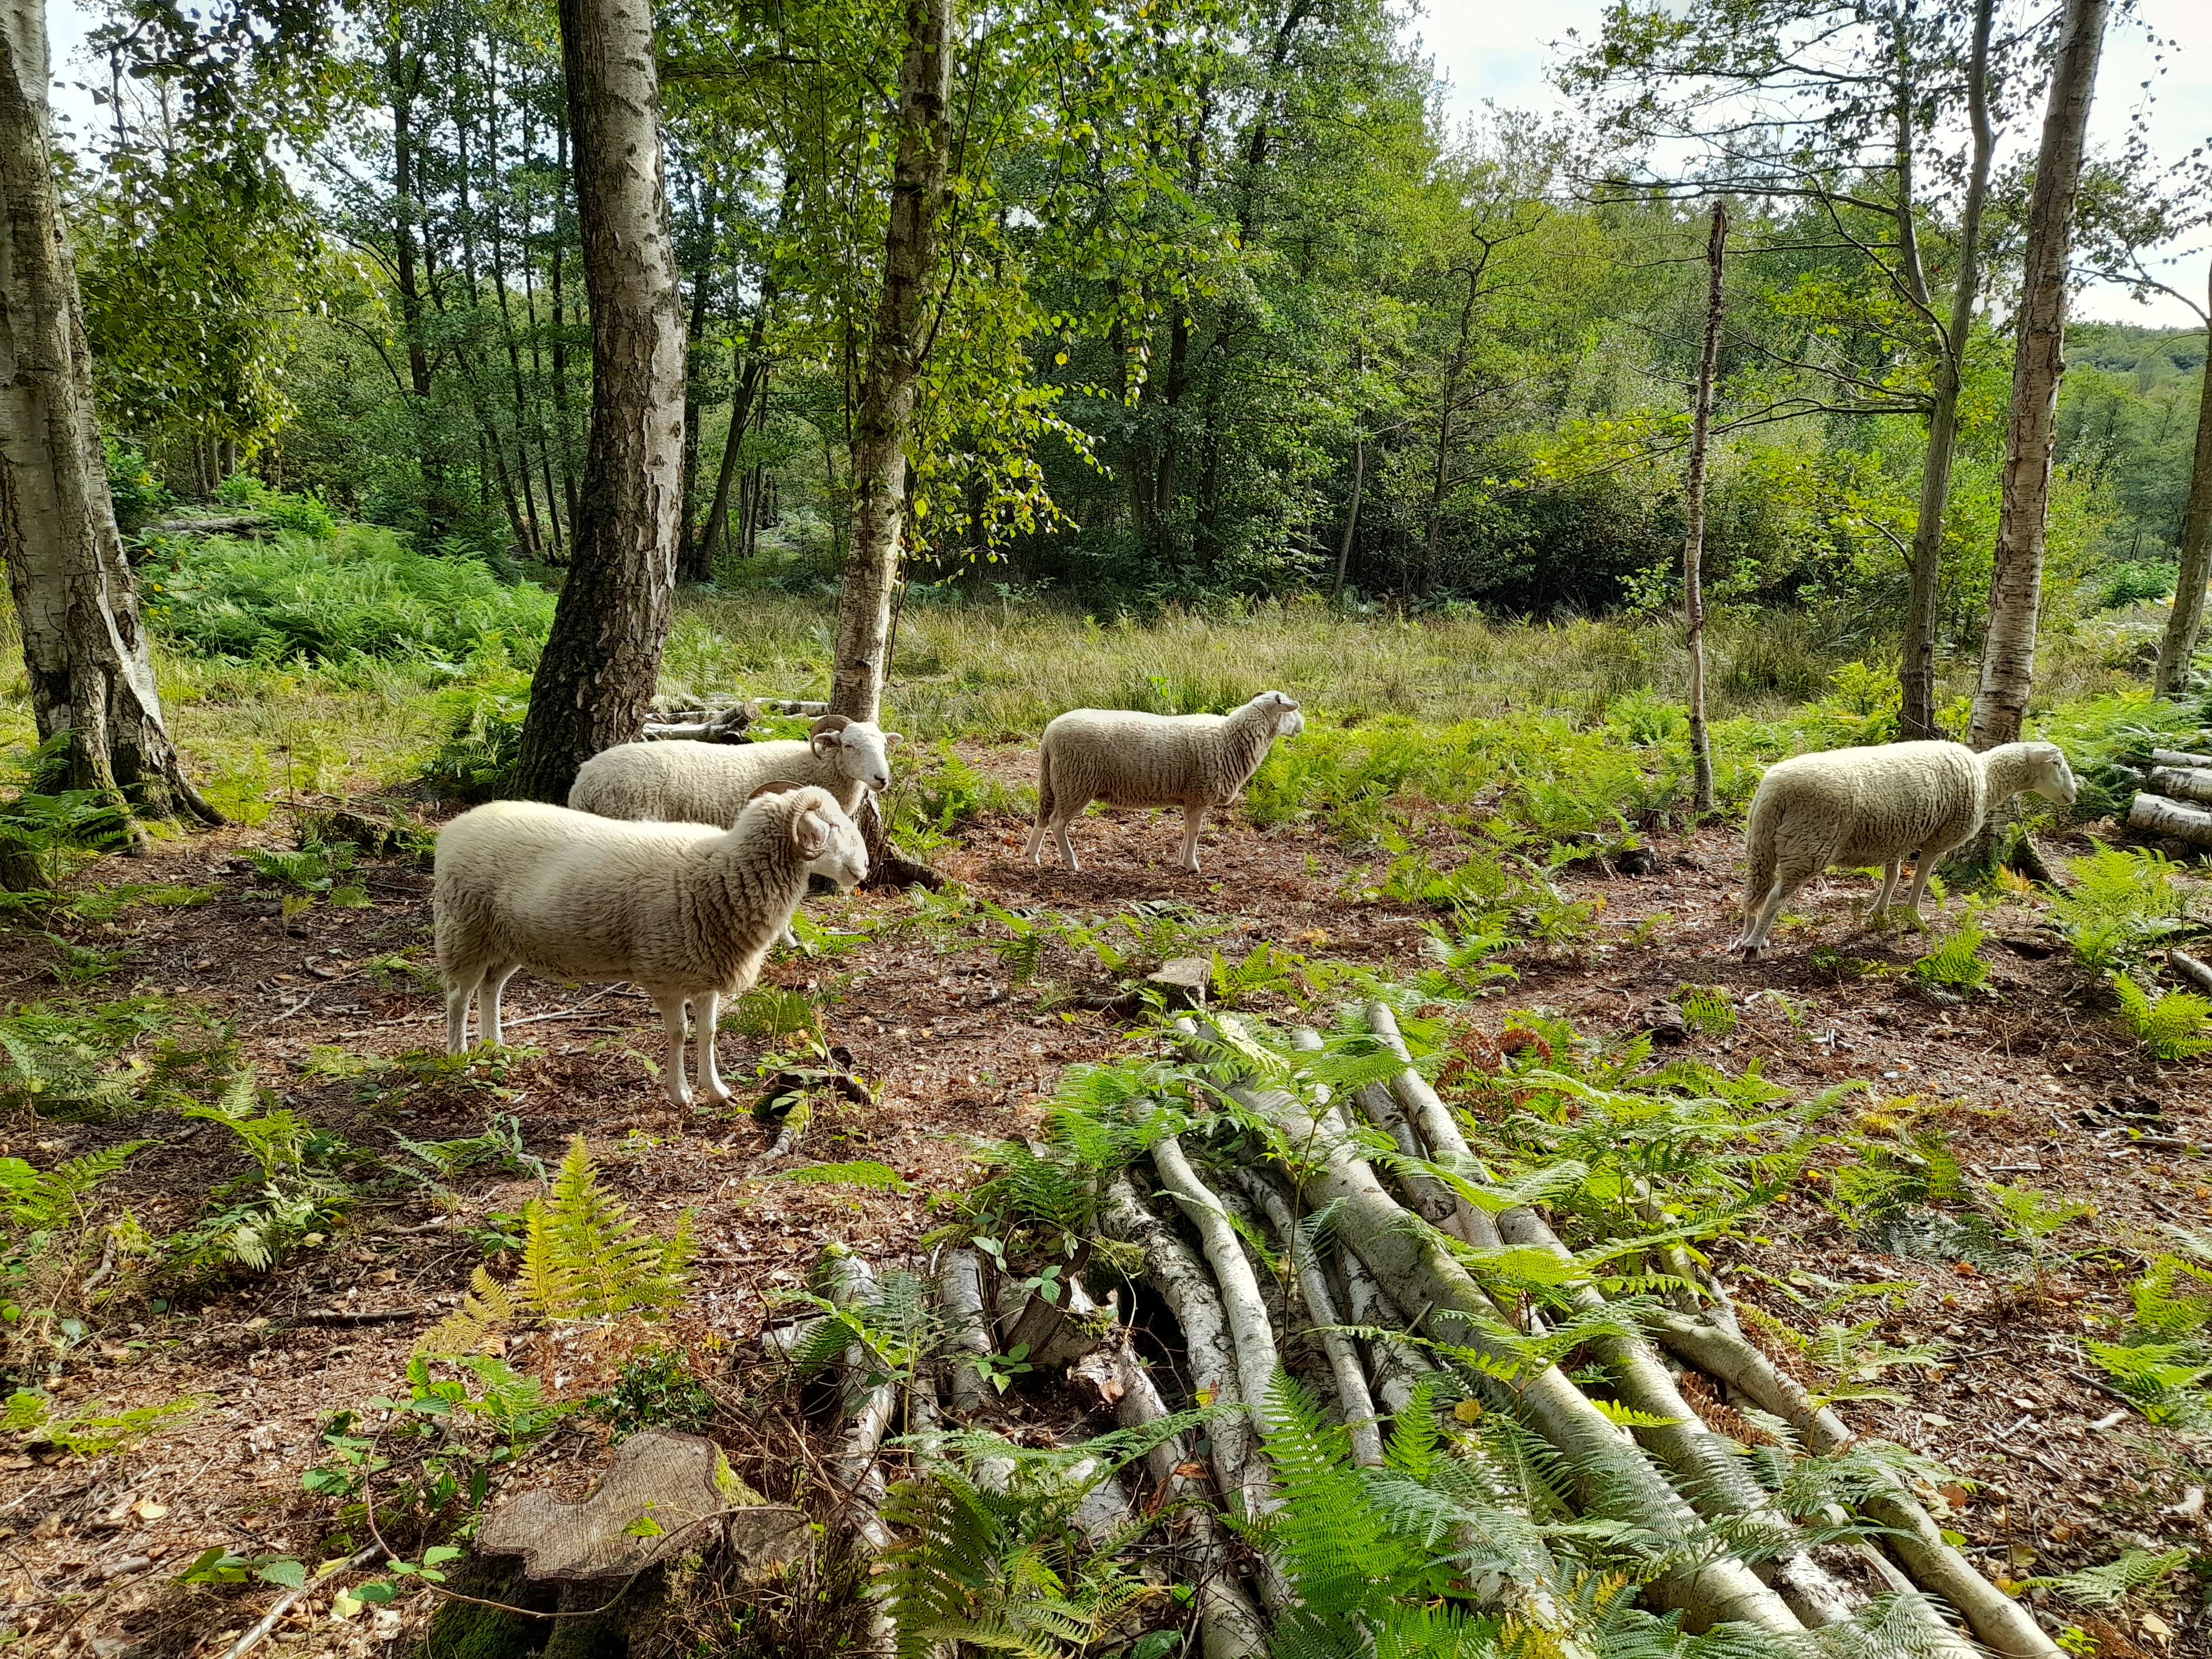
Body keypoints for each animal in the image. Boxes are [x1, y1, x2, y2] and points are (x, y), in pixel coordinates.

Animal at [434, 781, 867, 1107]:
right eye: (829, 826)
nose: (863, 868)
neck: (722, 873)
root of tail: (454, 828)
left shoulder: (707, 972)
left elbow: (709, 1032)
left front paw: (716, 1089)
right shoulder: (665, 975)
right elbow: (679, 1034)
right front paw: (680, 1094)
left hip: (507, 940)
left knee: (491, 988)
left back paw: (495, 1046)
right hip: (463, 929)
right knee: (458, 997)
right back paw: (460, 1056)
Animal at [1023, 690, 1305, 873]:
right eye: (1293, 712)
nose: (1301, 726)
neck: (1228, 738)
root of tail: (1049, 734)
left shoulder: (1190, 798)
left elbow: (1188, 830)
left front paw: (1183, 858)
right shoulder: (1198, 795)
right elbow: (1195, 831)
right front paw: (1192, 865)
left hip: (1054, 782)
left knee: (1043, 817)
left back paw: (1031, 856)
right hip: (1075, 782)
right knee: (1057, 822)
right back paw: (1071, 863)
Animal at [1734, 739, 2077, 959]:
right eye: (2058, 764)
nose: (2074, 795)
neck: (1987, 779)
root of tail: (1773, 791)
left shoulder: (1896, 836)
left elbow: (1894, 876)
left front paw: (1880, 913)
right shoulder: (1938, 840)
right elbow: (1922, 877)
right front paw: (1914, 917)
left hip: (1762, 842)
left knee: (1755, 892)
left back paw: (1747, 935)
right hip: (1808, 845)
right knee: (1775, 897)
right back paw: (1754, 946)